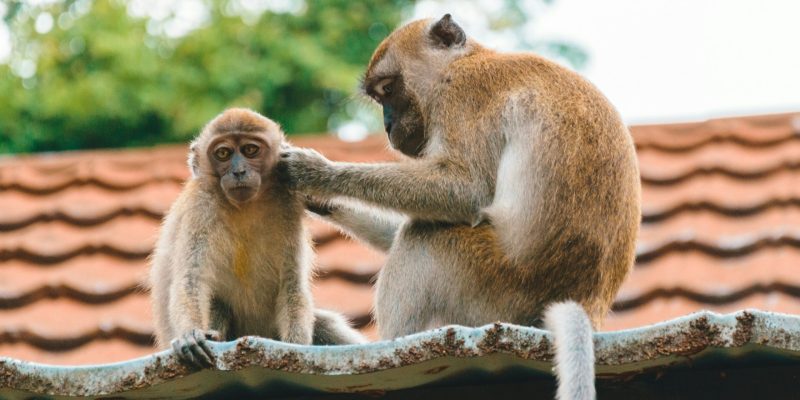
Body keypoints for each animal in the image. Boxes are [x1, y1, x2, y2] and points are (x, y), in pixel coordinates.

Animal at [148, 108, 364, 368]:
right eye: (223, 153)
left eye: (250, 150)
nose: (238, 171)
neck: (245, 206)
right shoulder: (201, 205)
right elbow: (190, 281)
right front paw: (190, 335)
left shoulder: (287, 203)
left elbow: (292, 285)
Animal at [278, 14, 640, 398]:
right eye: (379, 97)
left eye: (388, 89)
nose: (388, 125)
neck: (464, 62)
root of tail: (589, 303)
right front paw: (319, 198)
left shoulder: (462, 97)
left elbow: (465, 191)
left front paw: (318, 172)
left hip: (495, 288)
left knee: (425, 238)